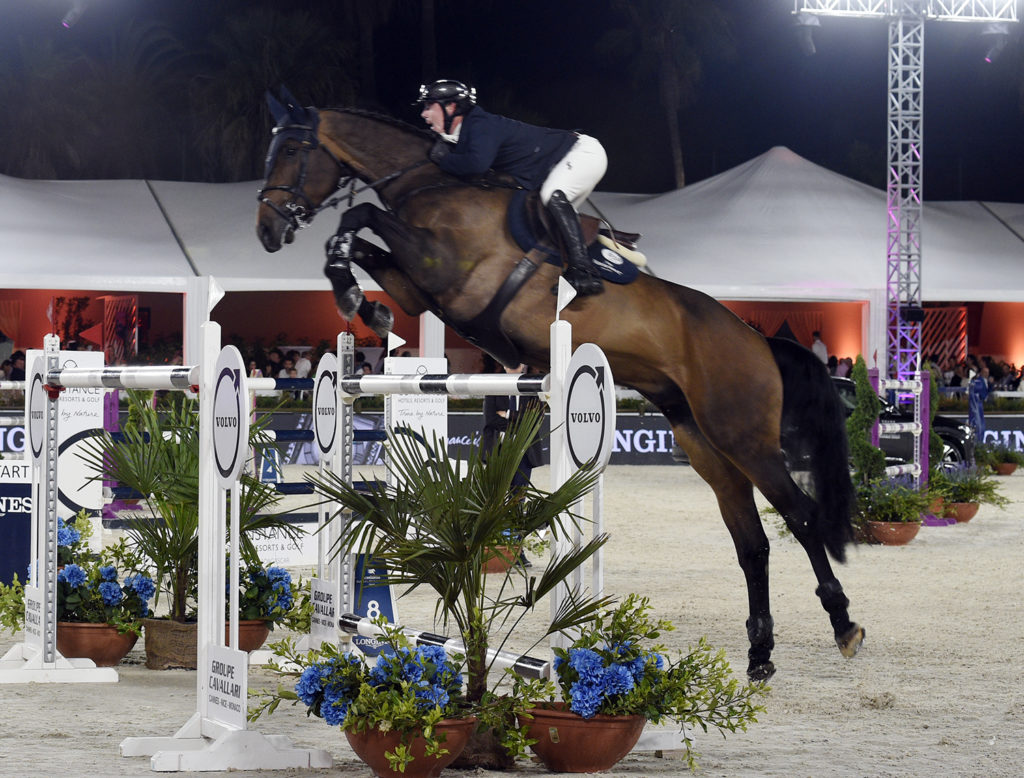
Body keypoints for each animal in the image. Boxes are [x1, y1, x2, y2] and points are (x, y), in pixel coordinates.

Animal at [256, 92, 864, 679]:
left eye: (292, 150)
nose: (266, 231)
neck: (430, 179)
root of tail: (758, 340)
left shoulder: (444, 268)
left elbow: (361, 213)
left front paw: (352, 293)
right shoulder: (418, 288)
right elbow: (363, 242)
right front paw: (366, 305)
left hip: (744, 437)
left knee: (800, 517)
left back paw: (843, 624)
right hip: (703, 442)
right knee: (752, 542)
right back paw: (760, 652)